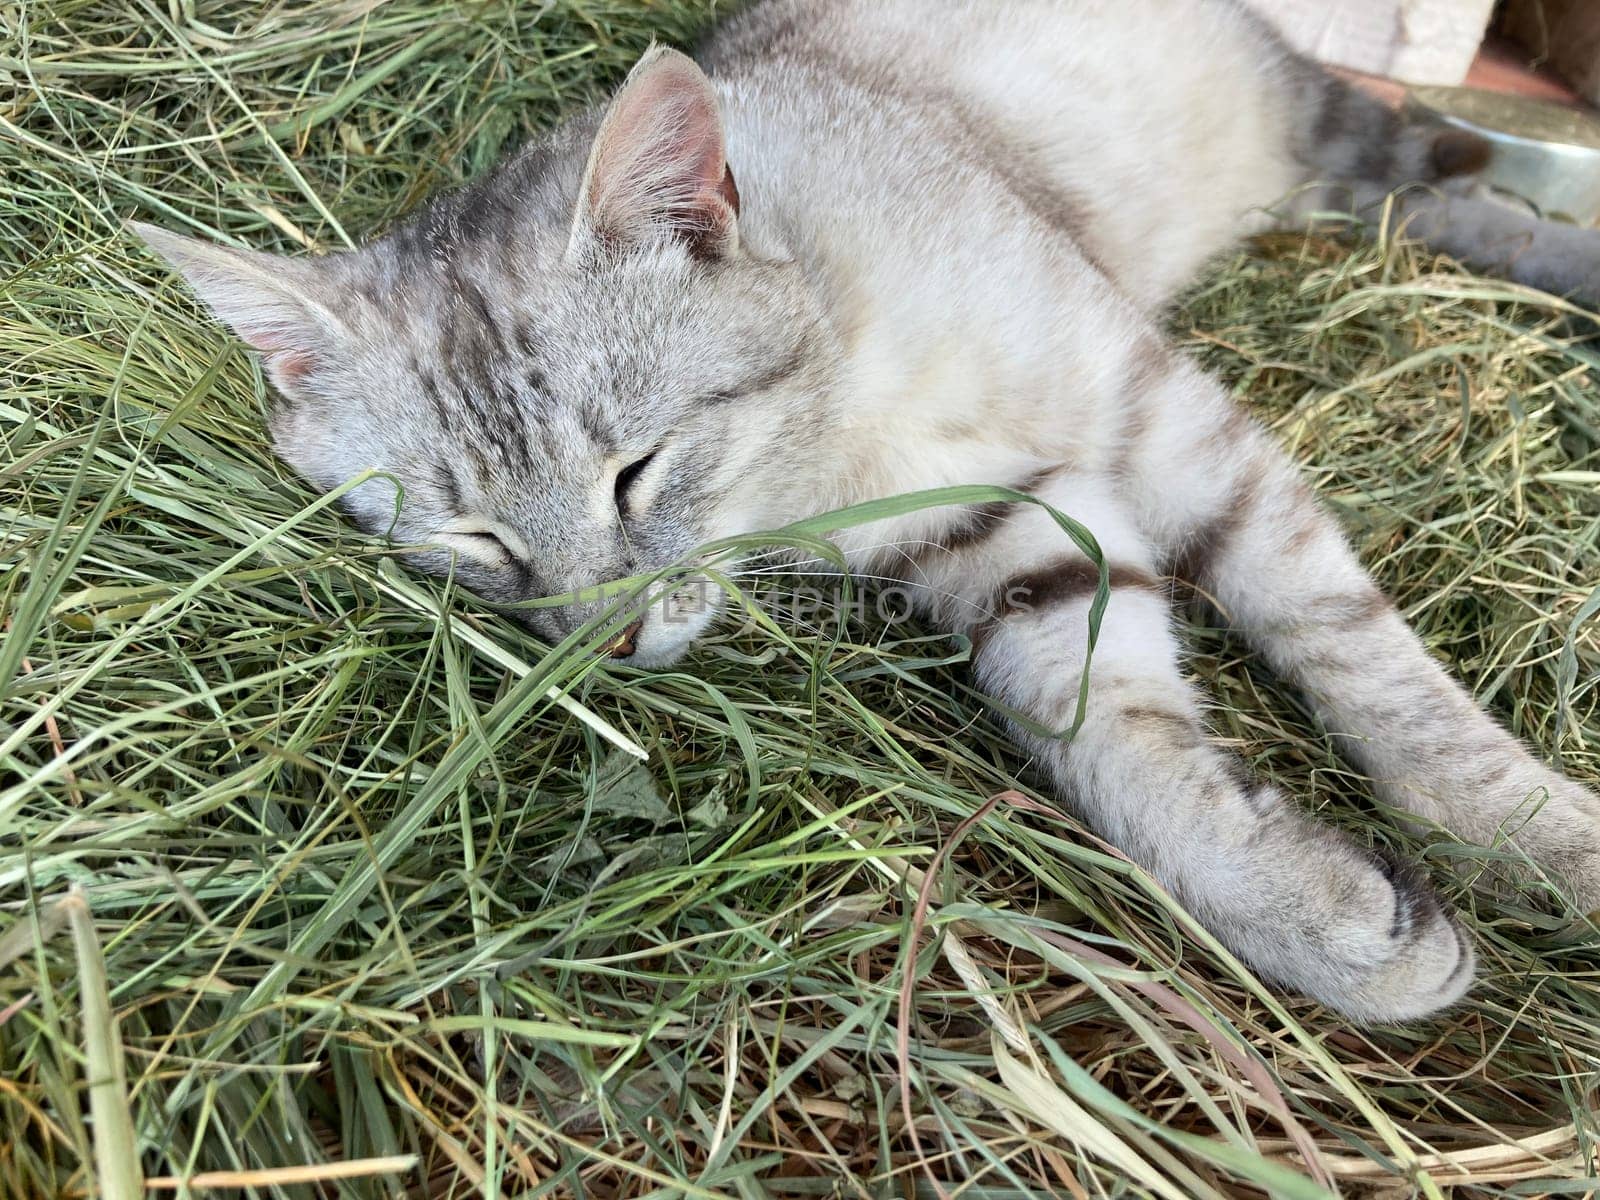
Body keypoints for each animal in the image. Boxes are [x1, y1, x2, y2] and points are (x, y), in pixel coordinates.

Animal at [137, 0, 1600, 1024]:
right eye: (473, 541)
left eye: (635, 471)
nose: (608, 643)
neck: (835, 417)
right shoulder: (1022, 542)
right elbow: (1117, 748)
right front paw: (1306, 910)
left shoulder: (1175, 430)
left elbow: (1363, 662)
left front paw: (1534, 839)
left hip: (1299, 113)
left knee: (1440, 166)